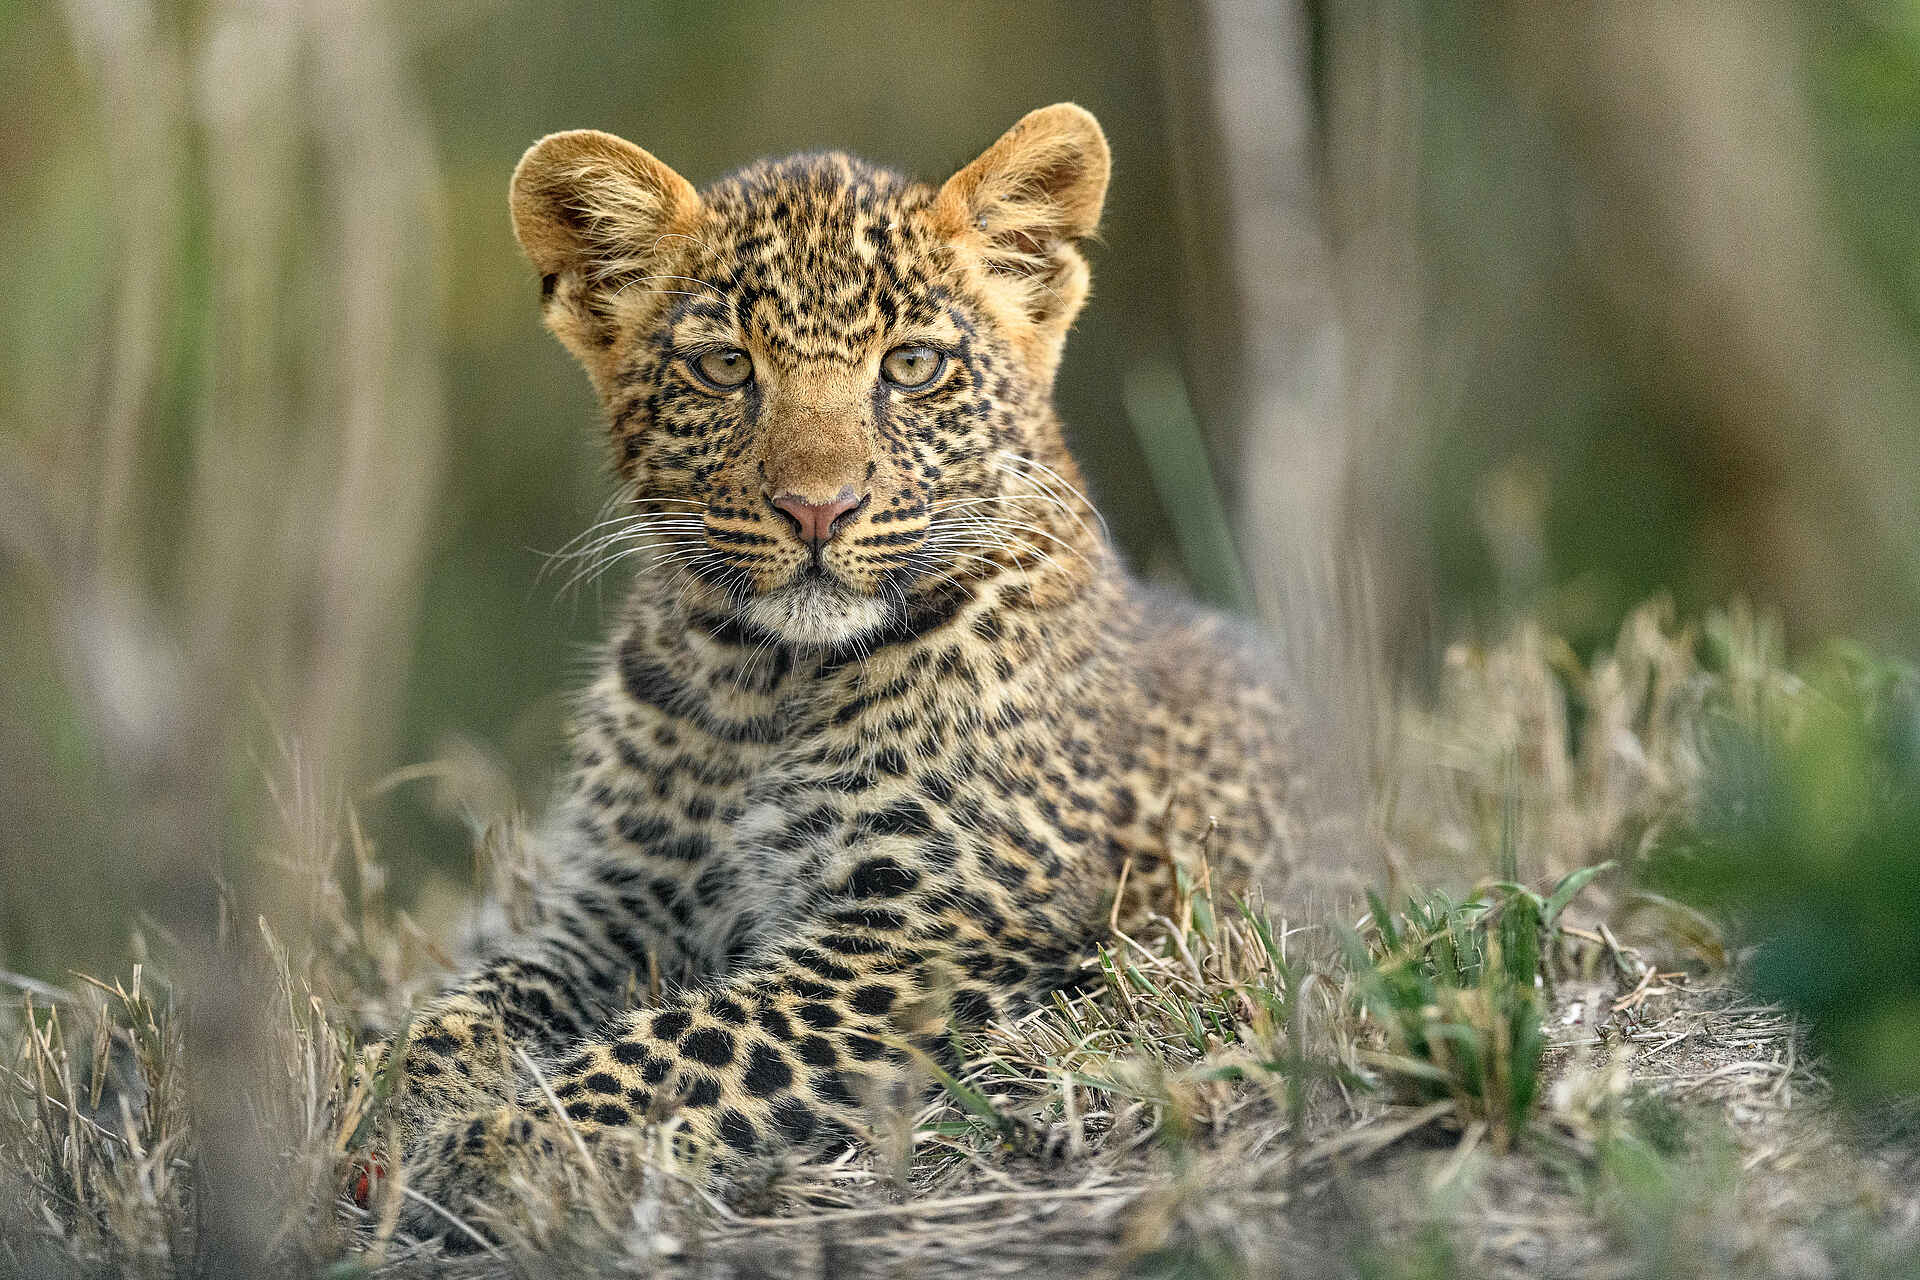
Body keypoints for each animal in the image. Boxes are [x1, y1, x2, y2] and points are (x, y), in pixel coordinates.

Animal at [349, 103, 1302, 1239]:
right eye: (725, 368)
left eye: (914, 365)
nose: (817, 509)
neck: (766, 682)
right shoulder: (619, 903)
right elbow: (476, 1001)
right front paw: (381, 1101)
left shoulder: (925, 927)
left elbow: (695, 1042)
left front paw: (511, 1144)